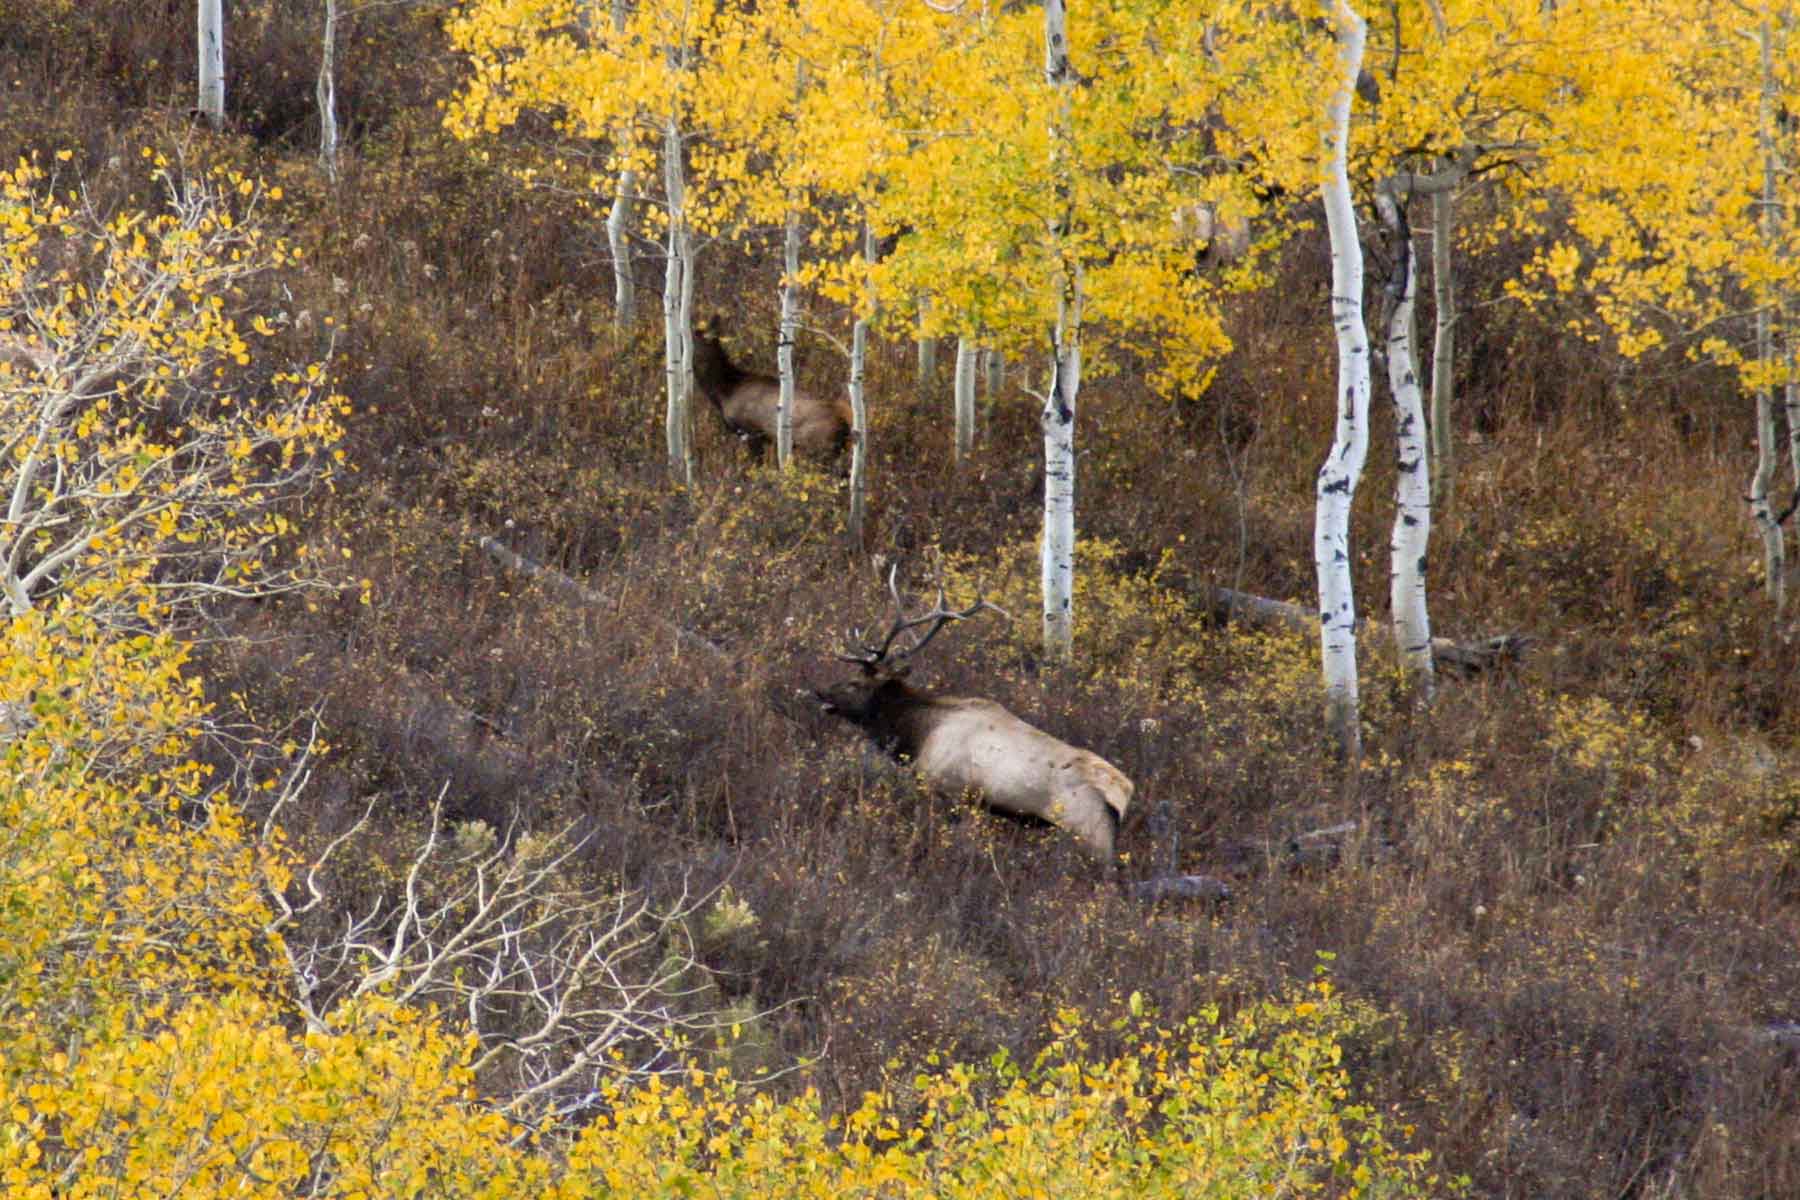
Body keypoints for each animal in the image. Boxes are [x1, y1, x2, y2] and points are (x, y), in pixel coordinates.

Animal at [814, 569, 1134, 861]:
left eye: (855, 683)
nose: (820, 691)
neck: (919, 734)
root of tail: (1123, 794)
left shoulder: (949, 789)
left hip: (1089, 835)